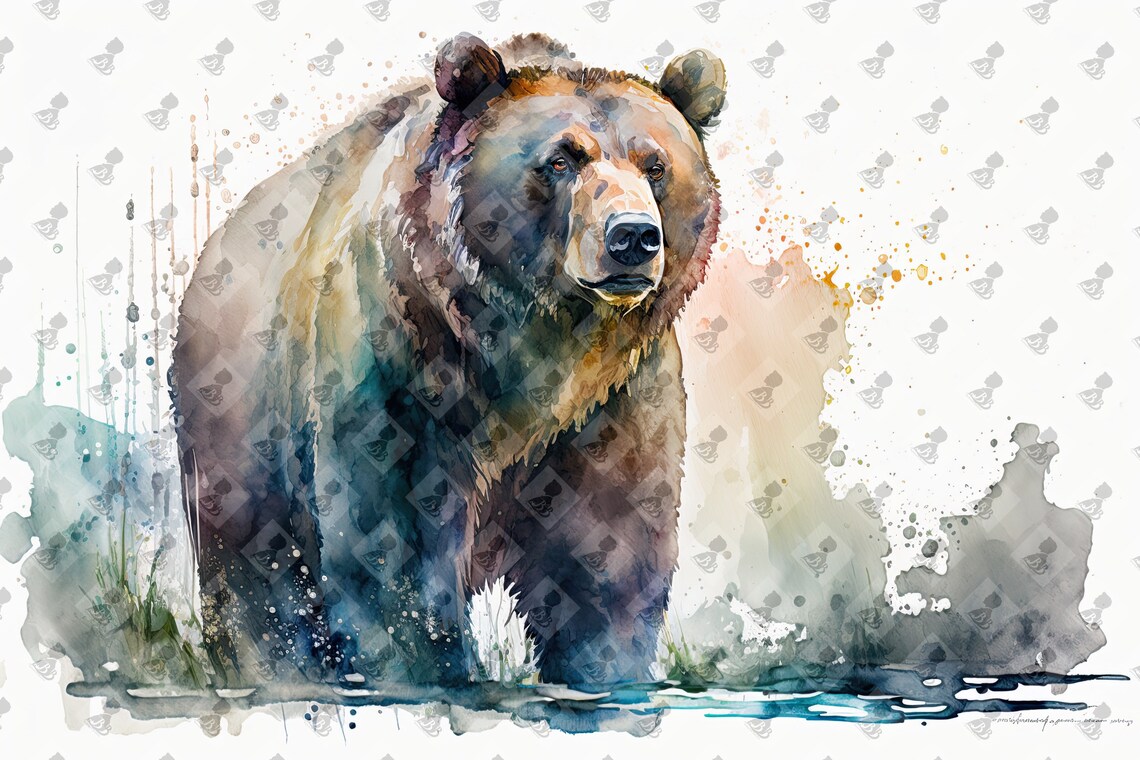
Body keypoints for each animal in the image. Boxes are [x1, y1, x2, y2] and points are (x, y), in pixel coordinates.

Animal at [171, 32, 726, 689]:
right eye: (561, 160)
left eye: (655, 165)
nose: (633, 237)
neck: (536, 343)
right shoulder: (405, 359)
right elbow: (393, 539)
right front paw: (426, 667)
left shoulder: (611, 399)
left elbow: (605, 551)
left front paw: (603, 672)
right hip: (240, 417)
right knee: (258, 569)